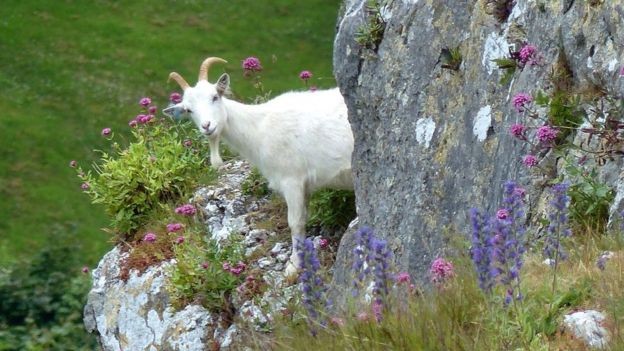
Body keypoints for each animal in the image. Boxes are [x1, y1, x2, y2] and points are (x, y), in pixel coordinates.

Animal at [163, 57, 354, 276]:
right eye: (188, 110)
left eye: (215, 97)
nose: (207, 126)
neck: (259, 128)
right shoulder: (303, 186)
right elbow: (303, 217)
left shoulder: (292, 179)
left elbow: (295, 222)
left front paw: (293, 266)